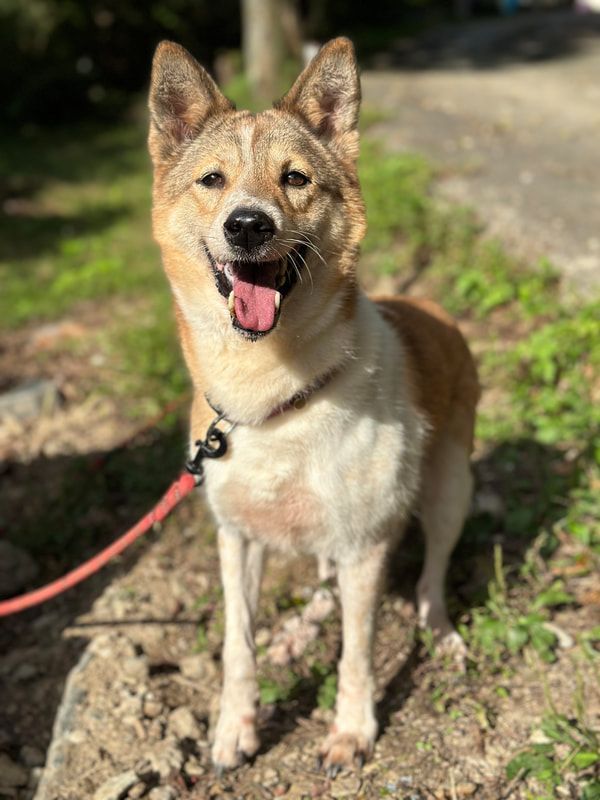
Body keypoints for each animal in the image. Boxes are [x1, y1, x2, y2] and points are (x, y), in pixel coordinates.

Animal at [148, 37, 480, 776]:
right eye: (212, 180)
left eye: (296, 178)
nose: (248, 225)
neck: (272, 395)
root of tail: (432, 306)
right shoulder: (237, 538)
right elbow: (238, 646)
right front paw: (233, 730)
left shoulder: (363, 544)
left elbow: (358, 652)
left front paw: (353, 730)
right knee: (325, 584)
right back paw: (297, 633)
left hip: (449, 488)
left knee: (431, 576)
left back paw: (440, 631)